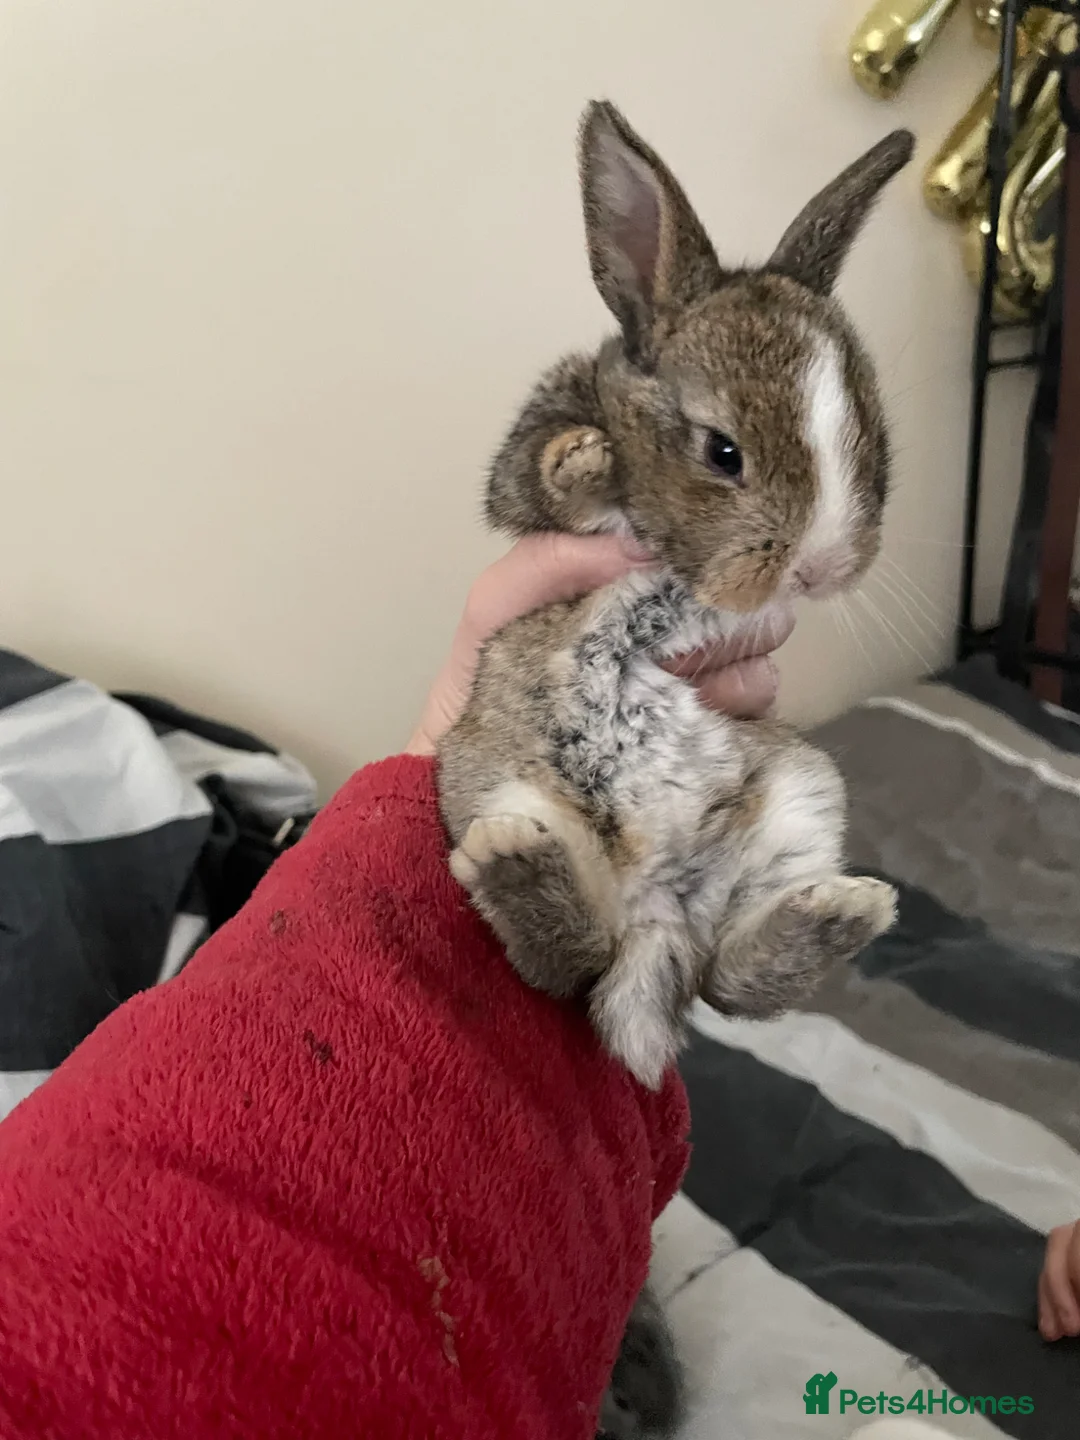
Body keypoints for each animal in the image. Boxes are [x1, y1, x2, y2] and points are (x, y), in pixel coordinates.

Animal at [438, 101, 912, 1096]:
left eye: (876, 448)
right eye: (721, 452)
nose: (821, 567)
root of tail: (659, 911)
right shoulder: (528, 475)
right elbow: (537, 479)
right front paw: (587, 458)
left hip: (802, 796)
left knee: (730, 976)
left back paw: (844, 910)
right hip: (493, 781)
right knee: (570, 962)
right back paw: (516, 862)